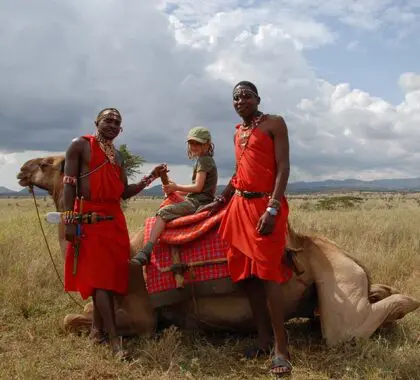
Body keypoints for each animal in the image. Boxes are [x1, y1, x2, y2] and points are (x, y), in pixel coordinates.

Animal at [17, 155, 420, 348]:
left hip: (338, 295)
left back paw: (403, 302)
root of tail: (353, 262)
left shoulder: (143, 316)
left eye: (48, 163)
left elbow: (71, 319)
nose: (21, 169)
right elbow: (75, 316)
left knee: (356, 324)